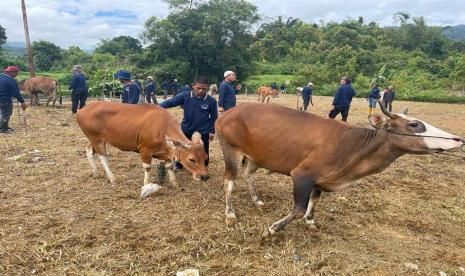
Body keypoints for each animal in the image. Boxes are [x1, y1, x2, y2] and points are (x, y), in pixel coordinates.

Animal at [76, 101, 208, 198]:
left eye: (205, 158)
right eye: (192, 159)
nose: (205, 177)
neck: (162, 128)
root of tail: (81, 110)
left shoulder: (166, 153)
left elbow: (170, 166)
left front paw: (174, 183)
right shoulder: (145, 150)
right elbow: (147, 168)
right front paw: (146, 185)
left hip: (92, 139)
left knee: (89, 150)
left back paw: (95, 173)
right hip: (97, 139)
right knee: (103, 157)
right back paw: (112, 178)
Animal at [216, 101, 462, 237]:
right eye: (414, 124)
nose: (458, 139)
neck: (354, 148)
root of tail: (229, 112)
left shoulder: (320, 179)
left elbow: (314, 200)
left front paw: (311, 222)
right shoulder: (302, 175)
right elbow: (298, 208)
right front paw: (272, 229)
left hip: (255, 156)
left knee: (248, 175)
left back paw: (256, 200)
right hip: (230, 148)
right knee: (230, 179)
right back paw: (230, 213)